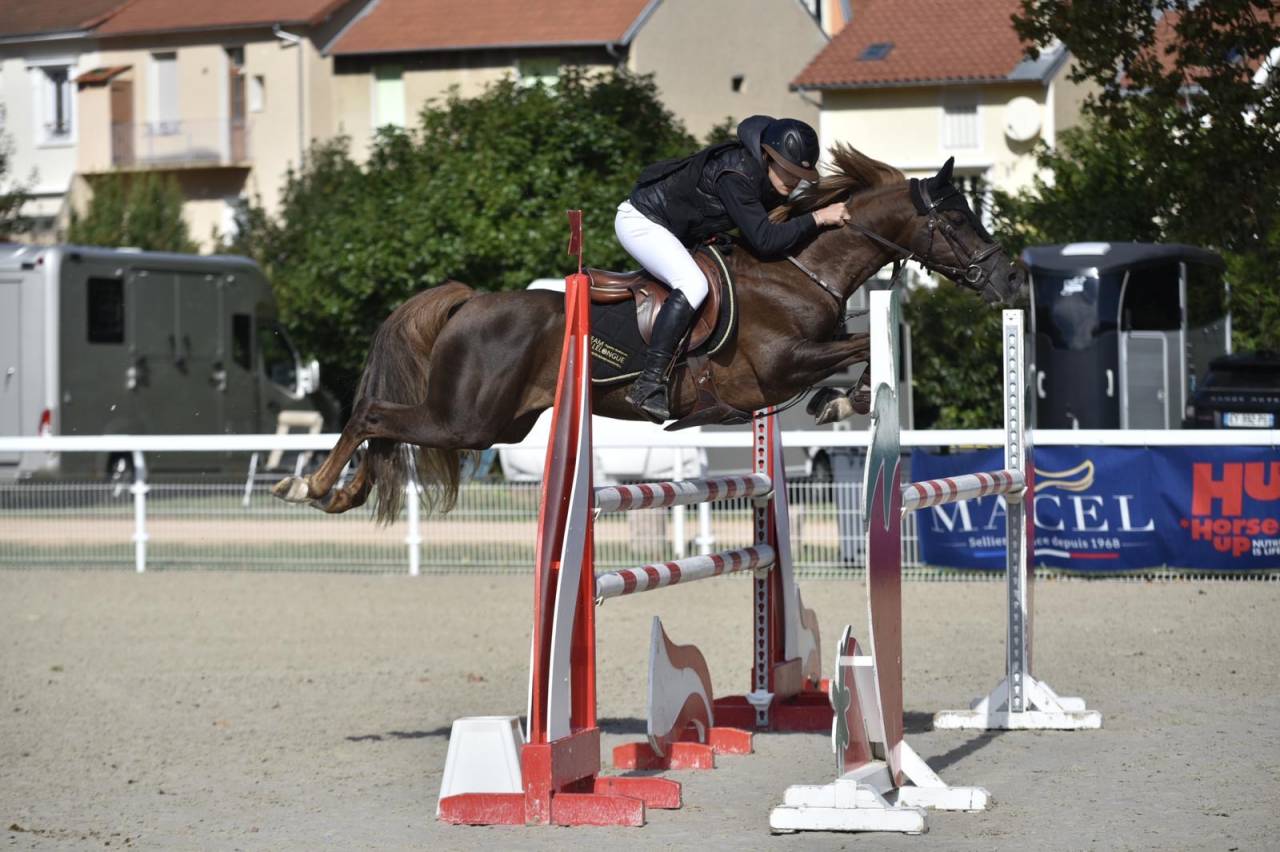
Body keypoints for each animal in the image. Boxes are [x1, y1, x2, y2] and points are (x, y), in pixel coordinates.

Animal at [273, 146, 1025, 522]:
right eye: (958, 220)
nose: (1010, 279)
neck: (799, 266)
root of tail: (468, 302)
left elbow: (858, 357)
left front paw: (844, 399)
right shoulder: (779, 363)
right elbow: (851, 353)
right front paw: (842, 398)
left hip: (494, 424)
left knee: (388, 425)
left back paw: (343, 493)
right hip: (468, 419)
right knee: (375, 413)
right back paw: (309, 486)